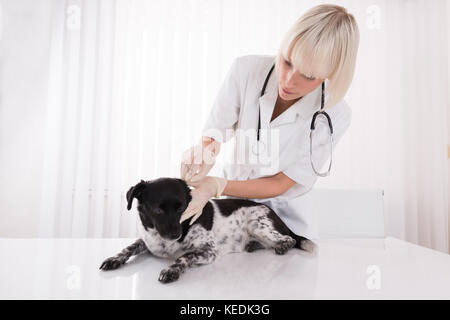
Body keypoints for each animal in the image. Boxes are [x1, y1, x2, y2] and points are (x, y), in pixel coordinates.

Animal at [99, 176, 316, 284]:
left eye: (182, 208)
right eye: (157, 210)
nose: (175, 234)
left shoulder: (209, 250)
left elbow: (184, 256)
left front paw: (171, 270)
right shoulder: (146, 241)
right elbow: (128, 248)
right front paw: (113, 259)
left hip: (257, 223)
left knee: (290, 239)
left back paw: (281, 246)